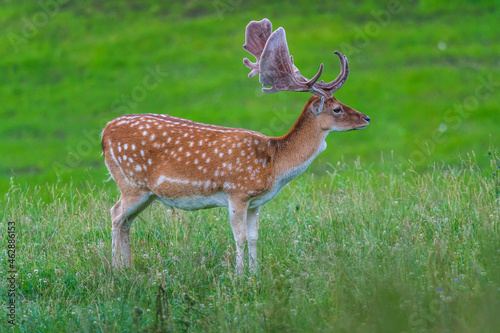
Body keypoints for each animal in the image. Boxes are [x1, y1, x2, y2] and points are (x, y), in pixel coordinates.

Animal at [101, 18, 370, 272]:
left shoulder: (255, 202)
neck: (274, 164)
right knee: (115, 214)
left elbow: (254, 238)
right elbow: (239, 237)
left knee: (126, 221)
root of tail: (104, 133)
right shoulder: (237, 192)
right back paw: (116, 269)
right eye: (337, 109)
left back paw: (127, 267)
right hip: (131, 183)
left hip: (147, 193)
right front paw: (239, 276)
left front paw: (255, 273)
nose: (366, 118)